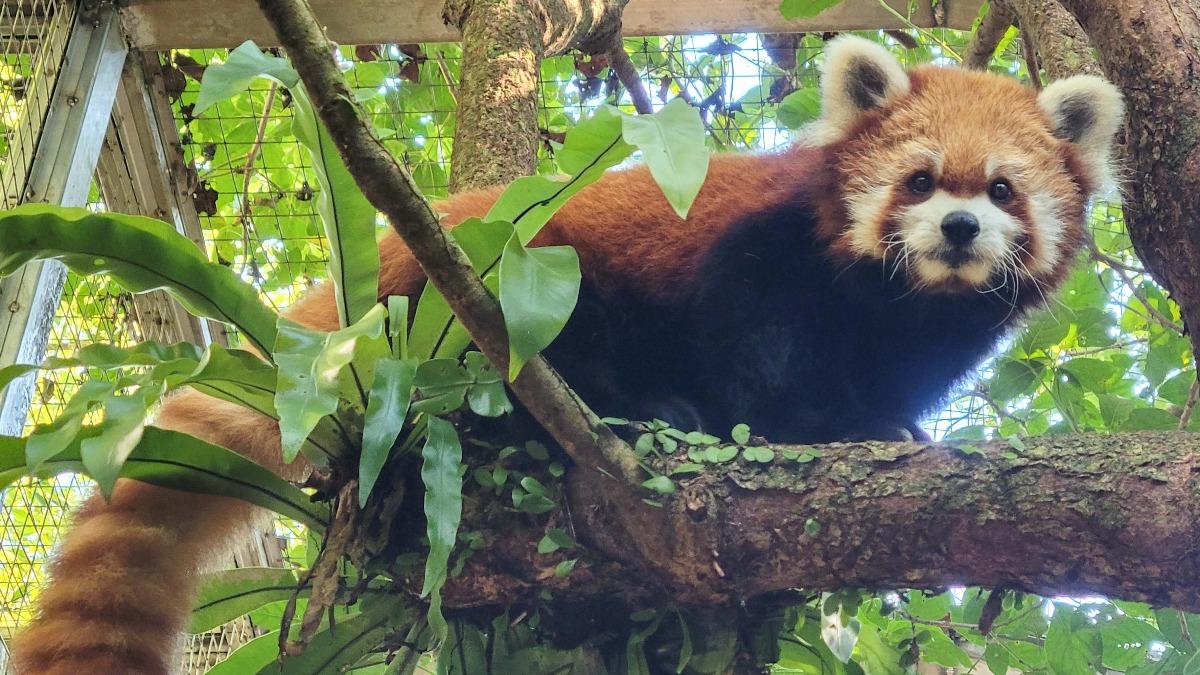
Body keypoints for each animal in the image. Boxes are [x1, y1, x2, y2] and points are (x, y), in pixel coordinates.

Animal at [9, 36, 1118, 672]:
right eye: (923, 179)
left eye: (1003, 189)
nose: (961, 230)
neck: (898, 303)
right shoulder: (758, 254)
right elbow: (756, 351)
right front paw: (805, 429)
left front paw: (890, 424)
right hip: (473, 307)